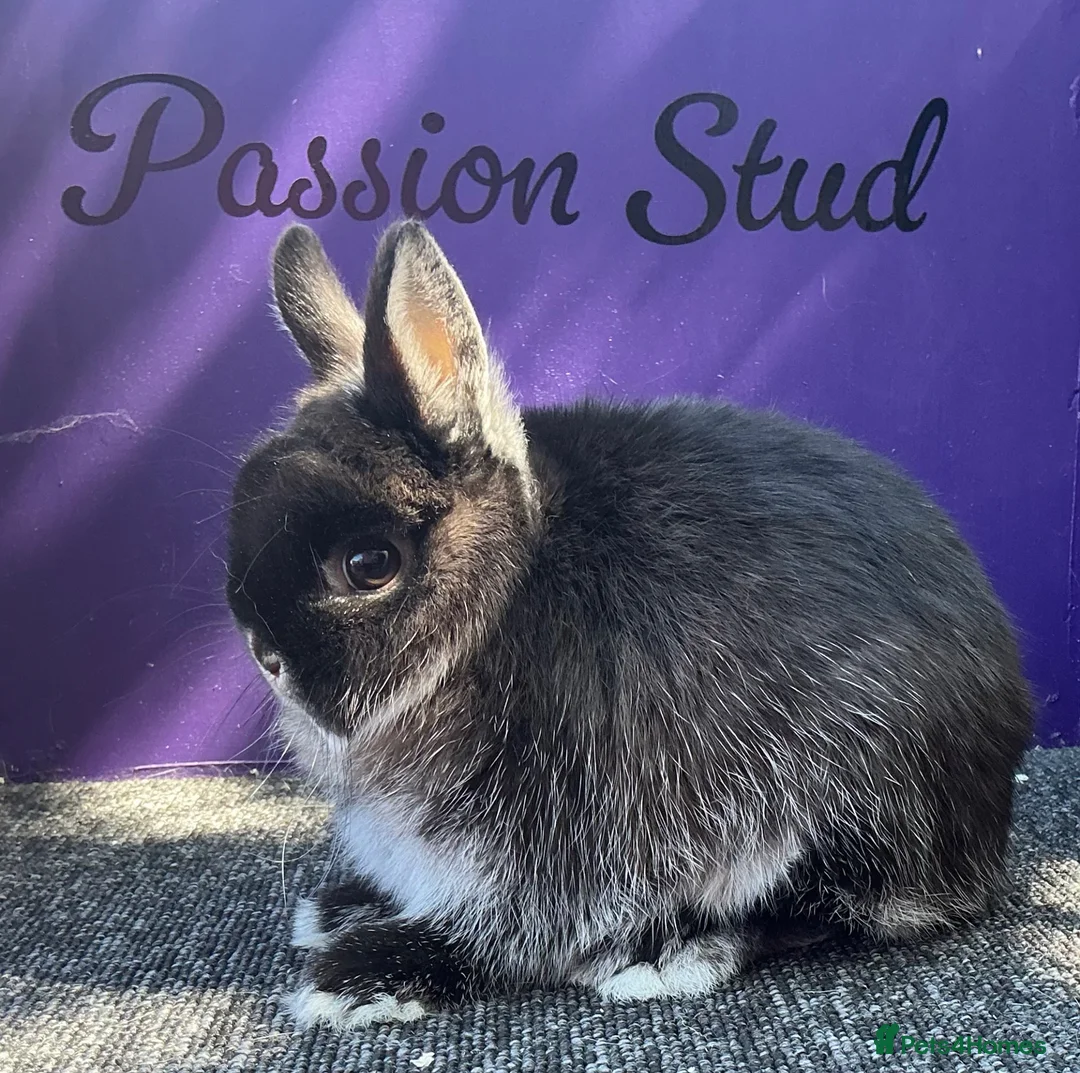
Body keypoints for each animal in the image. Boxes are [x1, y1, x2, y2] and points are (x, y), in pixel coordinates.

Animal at [225, 219, 1032, 1030]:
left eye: (369, 564)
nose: (265, 653)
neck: (507, 591)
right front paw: (350, 907)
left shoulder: (562, 829)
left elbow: (510, 932)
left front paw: (366, 973)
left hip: (844, 806)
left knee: (812, 910)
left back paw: (668, 949)